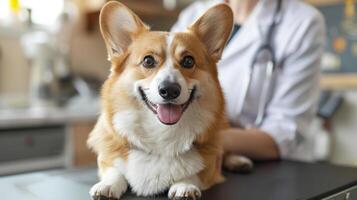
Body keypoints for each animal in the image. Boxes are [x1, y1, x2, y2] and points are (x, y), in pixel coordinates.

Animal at [87, 1, 250, 198]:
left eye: (188, 61)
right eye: (148, 61)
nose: (170, 90)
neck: (161, 136)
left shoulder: (209, 166)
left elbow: (196, 172)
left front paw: (184, 185)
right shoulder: (107, 158)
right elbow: (114, 170)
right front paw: (108, 185)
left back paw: (239, 160)